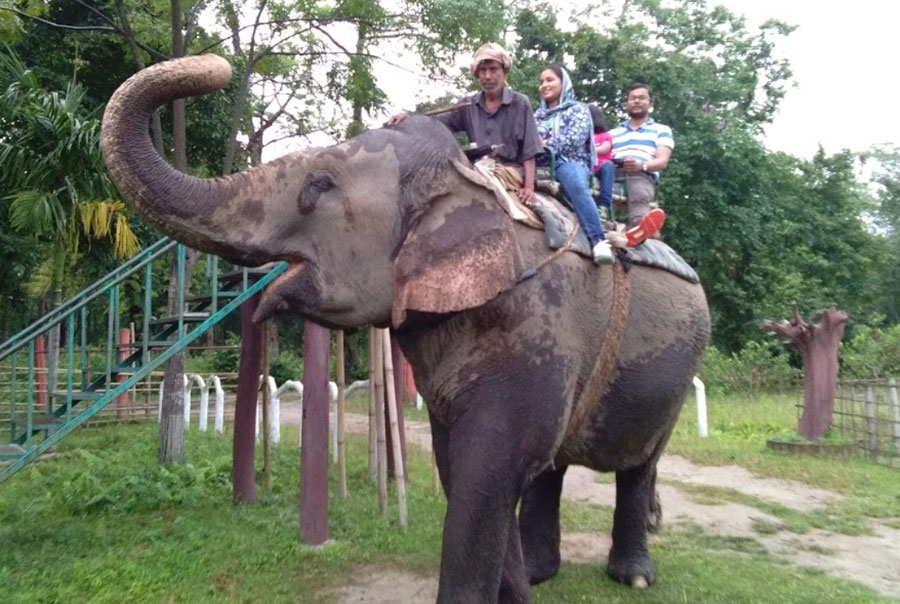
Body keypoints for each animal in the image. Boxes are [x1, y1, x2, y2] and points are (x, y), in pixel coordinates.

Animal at [102, 55, 712, 604]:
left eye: (319, 186)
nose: (217, 67)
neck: (466, 183)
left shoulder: (537, 323)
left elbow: (488, 471)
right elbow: (464, 469)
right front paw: (517, 591)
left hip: (680, 369)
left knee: (640, 464)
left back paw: (633, 577)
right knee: (553, 467)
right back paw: (544, 573)